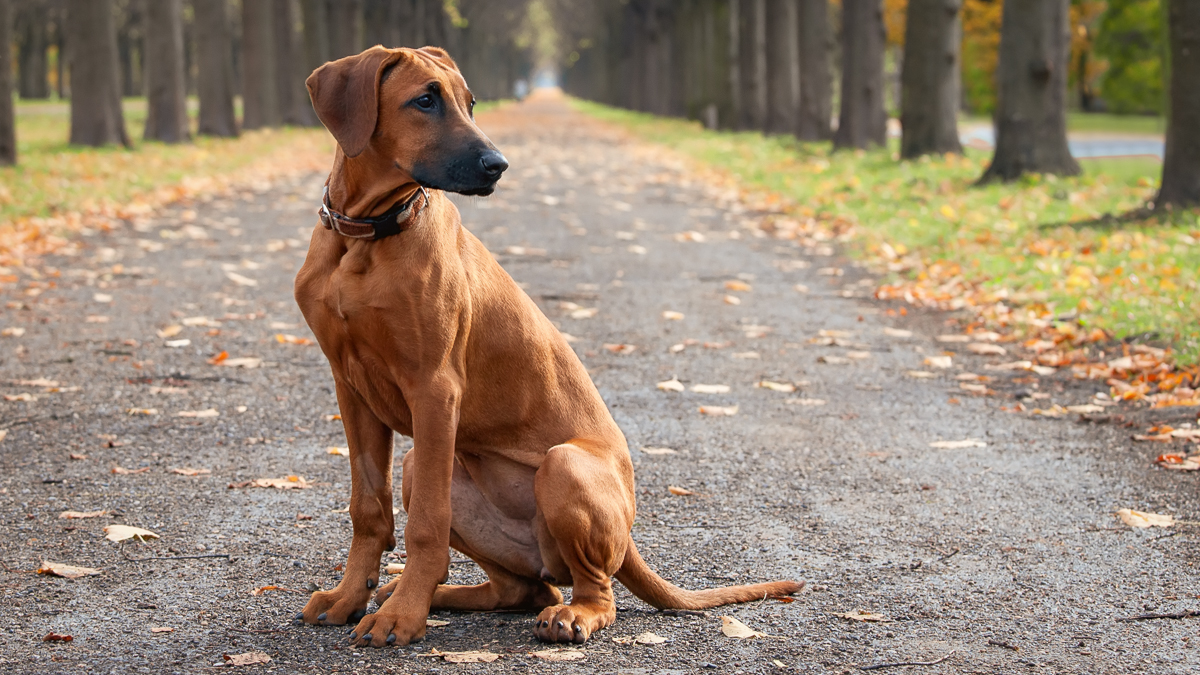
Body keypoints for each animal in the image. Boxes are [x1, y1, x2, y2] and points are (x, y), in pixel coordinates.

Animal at [291, 44, 801, 643]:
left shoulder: (434, 388)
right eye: (424, 101)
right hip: (425, 468)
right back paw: (437, 595)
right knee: (523, 589)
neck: (366, 234)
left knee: (591, 591)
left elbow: (426, 527)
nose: (498, 165)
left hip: (563, 468)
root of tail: (629, 539)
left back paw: (562, 615)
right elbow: (368, 508)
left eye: (469, 102)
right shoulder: (350, 387)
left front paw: (401, 617)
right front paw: (351, 596)